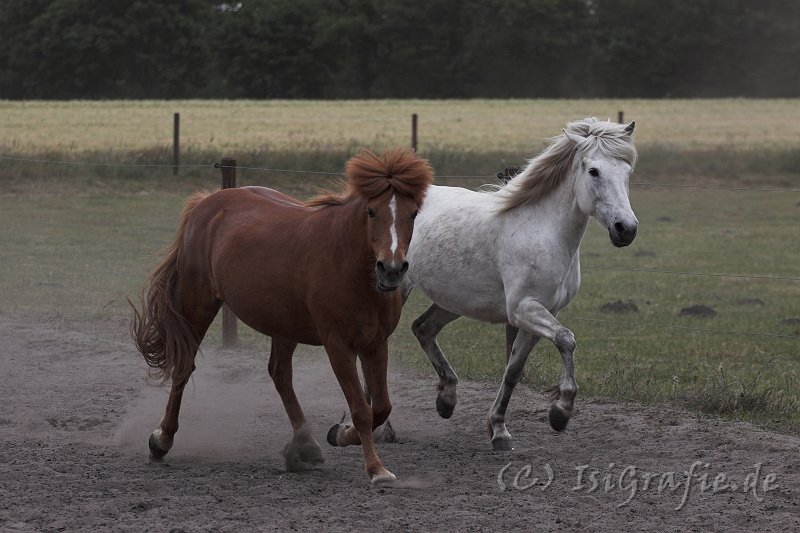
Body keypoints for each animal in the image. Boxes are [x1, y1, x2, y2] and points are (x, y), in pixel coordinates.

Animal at [131, 148, 432, 484]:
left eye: (413, 214)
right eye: (371, 211)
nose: (391, 270)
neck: (349, 263)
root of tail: (207, 203)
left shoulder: (375, 344)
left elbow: (380, 408)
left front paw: (341, 434)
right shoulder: (338, 346)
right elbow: (362, 410)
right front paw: (376, 469)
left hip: (284, 324)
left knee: (280, 374)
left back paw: (305, 444)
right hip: (198, 304)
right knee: (184, 367)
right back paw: (161, 440)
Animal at [404, 117, 640, 448]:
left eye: (627, 172)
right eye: (593, 171)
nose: (625, 229)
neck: (542, 230)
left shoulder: (543, 313)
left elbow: (514, 370)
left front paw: (499, 430)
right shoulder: (523, 309)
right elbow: (567, 339)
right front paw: (561, 412)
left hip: (452, 301)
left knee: (423, 328)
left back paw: (446, 400)